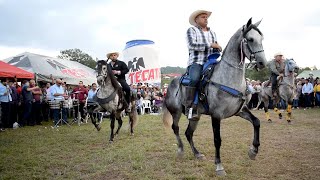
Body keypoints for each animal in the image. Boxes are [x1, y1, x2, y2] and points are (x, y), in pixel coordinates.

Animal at [162, 18, 268, 176]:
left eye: (262, 38)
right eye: (250, 39)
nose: (262, 63)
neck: (228, 78)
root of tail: (171, 84)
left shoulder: (240, 110)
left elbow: (256, 122)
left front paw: (253, 151)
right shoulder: (216, 115)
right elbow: (217, 139)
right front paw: (219, 166)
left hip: (195, 116)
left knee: (188, 133)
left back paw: (197, 153)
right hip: (176, 112)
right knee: (176, 128)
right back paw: (180, 150)